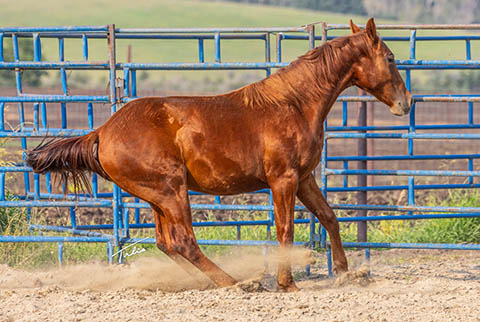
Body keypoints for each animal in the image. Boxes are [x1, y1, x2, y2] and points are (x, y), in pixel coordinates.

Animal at [26, 19, 410, 292]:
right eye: (391, 58)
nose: (406, 103)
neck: (294, 104)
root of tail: (102, 131)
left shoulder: (303, 178)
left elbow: (330, 217)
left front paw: (346, 273)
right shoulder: (282, 179)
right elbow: (285, 229)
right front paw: (287, 284)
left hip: (156, 198)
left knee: (167, 243)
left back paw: (207, 282)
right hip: (172, 191)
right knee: (184, 241)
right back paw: (235, 283)